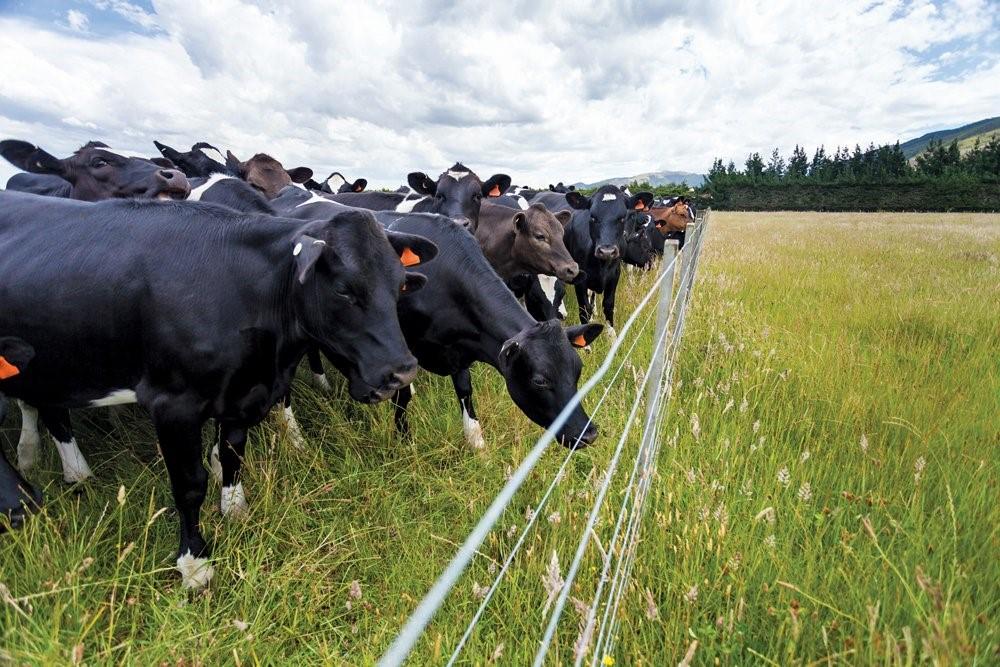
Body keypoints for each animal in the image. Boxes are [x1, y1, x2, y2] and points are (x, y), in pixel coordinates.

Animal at [0, 190, 438, 588]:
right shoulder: (173, 405)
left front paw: (235, 510)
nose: (402, 371)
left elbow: (231, 454)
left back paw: (61, 468)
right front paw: (195, 566)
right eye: (345, 289)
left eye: (401, 285)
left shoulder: (242, 394)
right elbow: (189, 485)